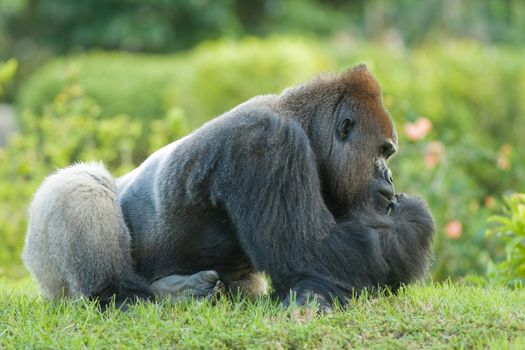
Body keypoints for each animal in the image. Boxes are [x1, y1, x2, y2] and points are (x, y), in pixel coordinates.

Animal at [22, 65, 434, 308]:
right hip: (46, 268)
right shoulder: (268, 142)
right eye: (383, 151)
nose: (389, 178)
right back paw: (124, 295)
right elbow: (305, 250)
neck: (301, 121)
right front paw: (412, 223)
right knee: (79, 186)